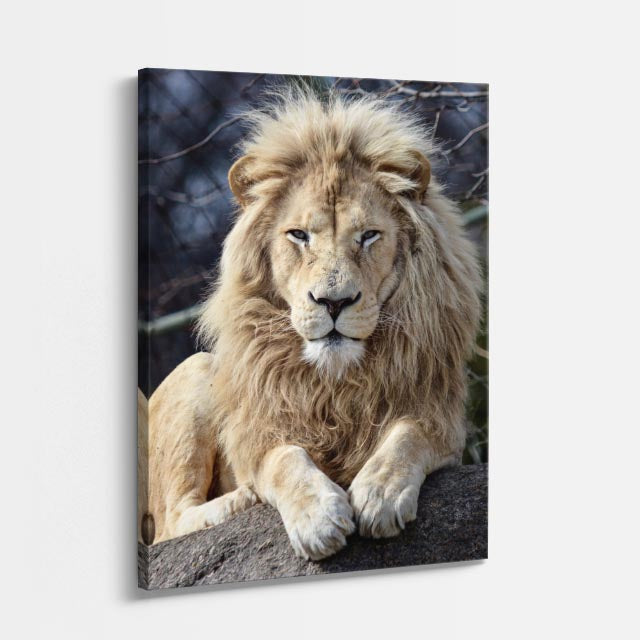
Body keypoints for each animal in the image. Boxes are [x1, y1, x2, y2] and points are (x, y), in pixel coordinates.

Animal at [147, 90, 482, 560]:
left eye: (369, 236)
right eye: (299, 235)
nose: (333, 302)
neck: (336, 380)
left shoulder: (441, 418)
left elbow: (407, 436)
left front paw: (380, 494)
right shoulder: (260, 434)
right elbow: (284, 461)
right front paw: (318, 517)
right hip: (196, 369)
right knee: (170, 525)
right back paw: (240, 500)